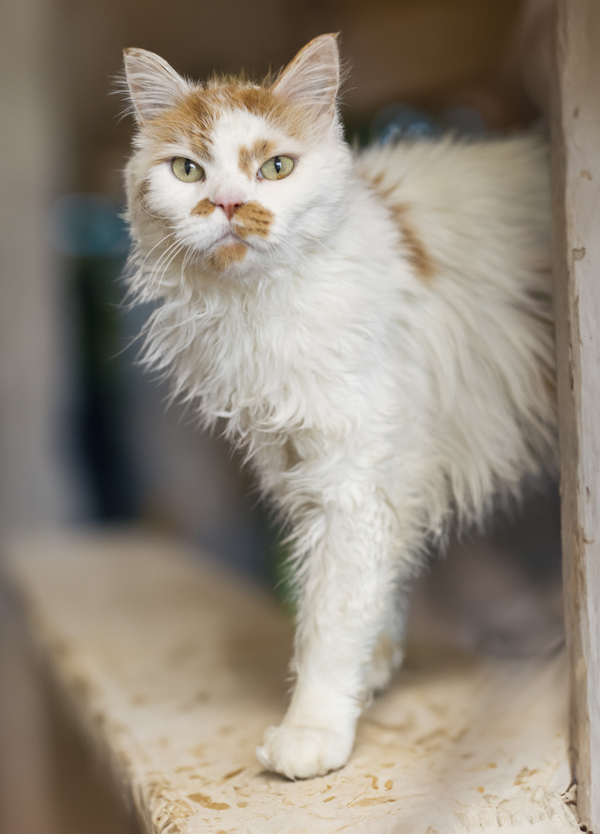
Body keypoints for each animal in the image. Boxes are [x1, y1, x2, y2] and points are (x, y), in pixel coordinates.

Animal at [122, 30, 556, 772]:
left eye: (275, 167)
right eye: (186, 170)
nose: (229, 204)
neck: (257, 312)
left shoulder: (354, 474)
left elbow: (331, 611)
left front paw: (313, 729)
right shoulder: (309, 465)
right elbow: (360, 589)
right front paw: (373, 667)